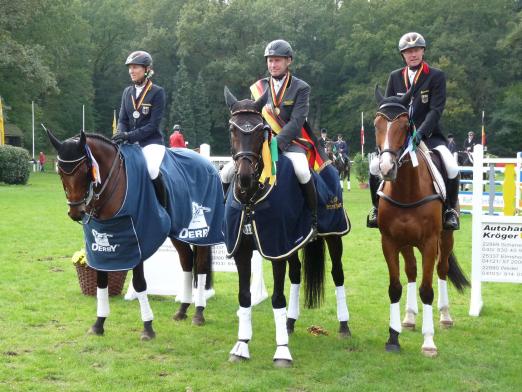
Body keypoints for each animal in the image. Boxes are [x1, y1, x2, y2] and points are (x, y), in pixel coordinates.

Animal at [44, 129, 215, 340]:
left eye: (85, 171)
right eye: (60, 172)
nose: (76, 212)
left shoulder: (137, 240)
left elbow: (140, 283)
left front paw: (148, 327)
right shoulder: (104, 244)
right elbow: (102, 281)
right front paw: (99, 324)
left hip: (201, 235)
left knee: (200, 266)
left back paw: (199, 313)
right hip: (177, 233)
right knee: (186, 260)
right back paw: (182, 310)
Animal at [222, 88, 350, 368]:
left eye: (260, 130)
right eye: (232, 129)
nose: (244, 177)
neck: (251, 198)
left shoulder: (275, 249)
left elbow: (277, 298)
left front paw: (282, 352)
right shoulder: (244, 250)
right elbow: (244, 296)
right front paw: (241, 345)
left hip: (334, 235)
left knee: (337, 274)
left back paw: (344, 326)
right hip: (292, 243)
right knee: (296, 274)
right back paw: (290, 323)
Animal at [370, 87, 468, 356]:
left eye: (405, 125)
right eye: (376, 124)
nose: (386, 168)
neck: (406, 189)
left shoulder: (429, 242)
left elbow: (427, 290)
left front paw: (429, 342)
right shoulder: (390, 242)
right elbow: (395, 287)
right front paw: (393, 338)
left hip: (446, 238)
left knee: (441, 269)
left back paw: (445, 316)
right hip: (406, 242)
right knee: (412, 271)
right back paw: (409, 318)